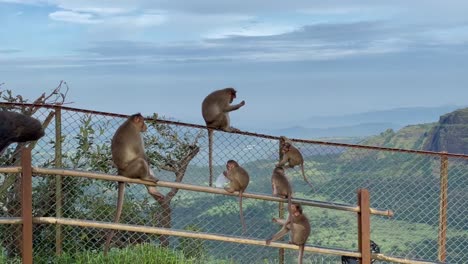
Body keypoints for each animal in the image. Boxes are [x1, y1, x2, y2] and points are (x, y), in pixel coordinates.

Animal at [104, 112, 165, 255]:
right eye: (143, 122)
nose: (145, 126)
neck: (130, 123)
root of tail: (120, 172)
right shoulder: (136, 135)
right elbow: (143, 155)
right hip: (131, 170)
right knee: (141, 162)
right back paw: (147, 177)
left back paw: (152, 190)